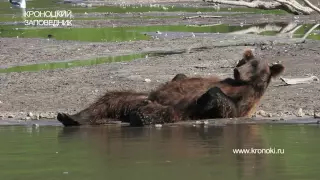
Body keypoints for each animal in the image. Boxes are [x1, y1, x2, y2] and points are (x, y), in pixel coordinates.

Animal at [56, 49, 284, 126]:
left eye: (254, 65)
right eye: (243, 60)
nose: (237, 70)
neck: (243, 84)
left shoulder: (246, 100)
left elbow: (228, 108)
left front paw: (205, 97)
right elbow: (180, 77)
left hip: (173, 109)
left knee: (158, 113)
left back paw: (138, 116)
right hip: (136, 97)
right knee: (109, 98)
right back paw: (70, 117)